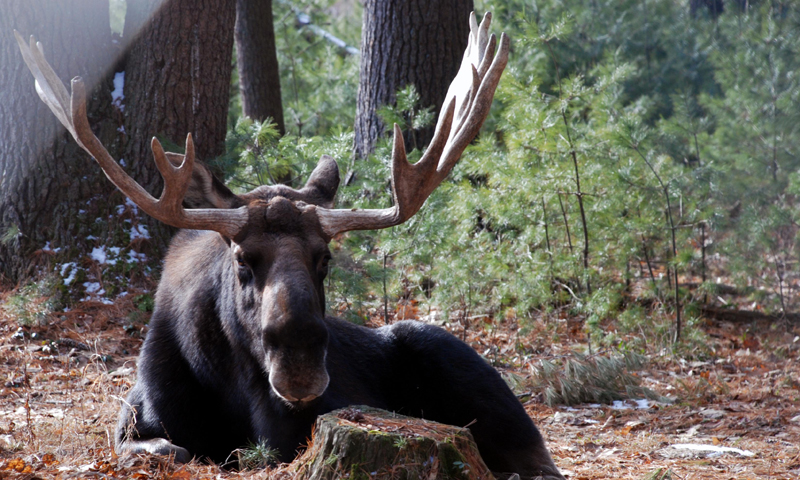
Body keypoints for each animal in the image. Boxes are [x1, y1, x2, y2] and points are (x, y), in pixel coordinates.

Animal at [16, 13, 564, 480]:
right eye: (242, 259)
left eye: (325, 259)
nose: (299, 365)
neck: (227, 383)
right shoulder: (134, 420)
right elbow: (168, 448)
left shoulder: (305, 426)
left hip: (464, 372)